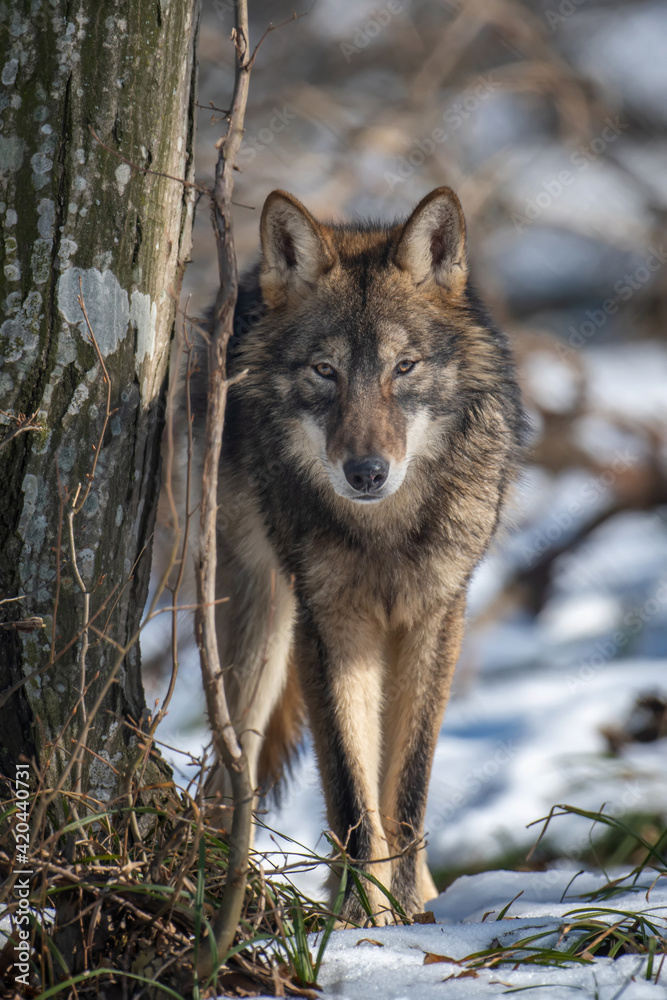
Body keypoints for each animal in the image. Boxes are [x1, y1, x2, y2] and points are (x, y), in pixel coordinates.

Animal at [209, 186, 526, 925]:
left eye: (401, 368)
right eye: (324, 371)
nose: (365, 473)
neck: (383, 529)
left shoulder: (438, 617)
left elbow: (404, 792)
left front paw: (407, 914)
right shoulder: (328, 624)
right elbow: (352, 798)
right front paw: (359, 921)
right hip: (264, 627)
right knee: (232, 767)